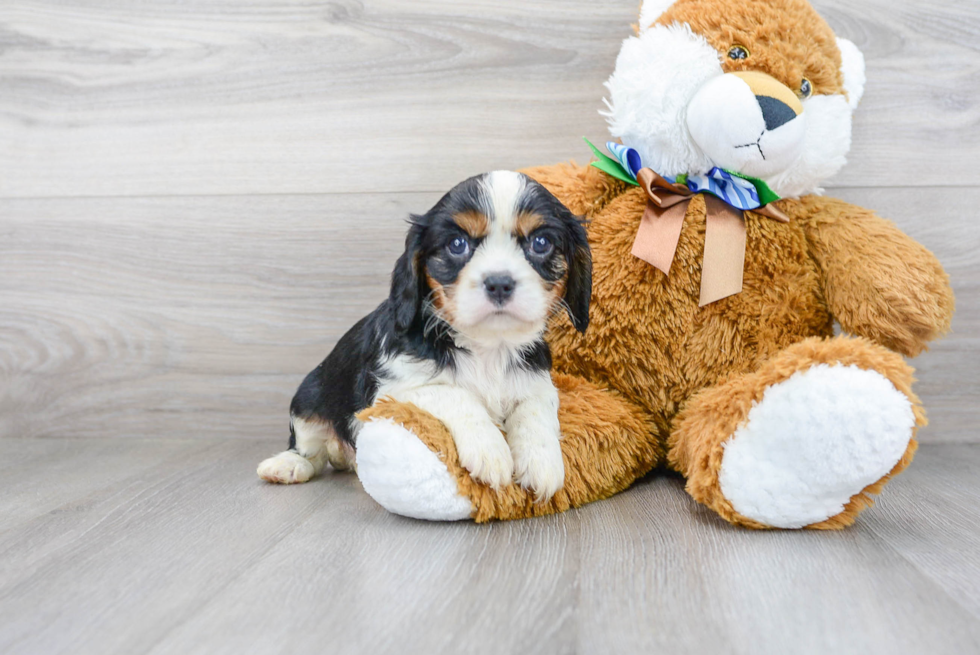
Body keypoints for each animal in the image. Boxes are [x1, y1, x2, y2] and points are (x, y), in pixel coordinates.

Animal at [256, 170, 588, 502]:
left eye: (541, 243)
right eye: (457, 244)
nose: (499, 283)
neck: (486, 345)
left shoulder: (536, 380)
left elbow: (537, 408)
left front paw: (542, 460)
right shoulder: (393, 390)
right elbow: (456, 394)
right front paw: (490, 447)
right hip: (309, 398)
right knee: (310, 449)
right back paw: (288, 465)